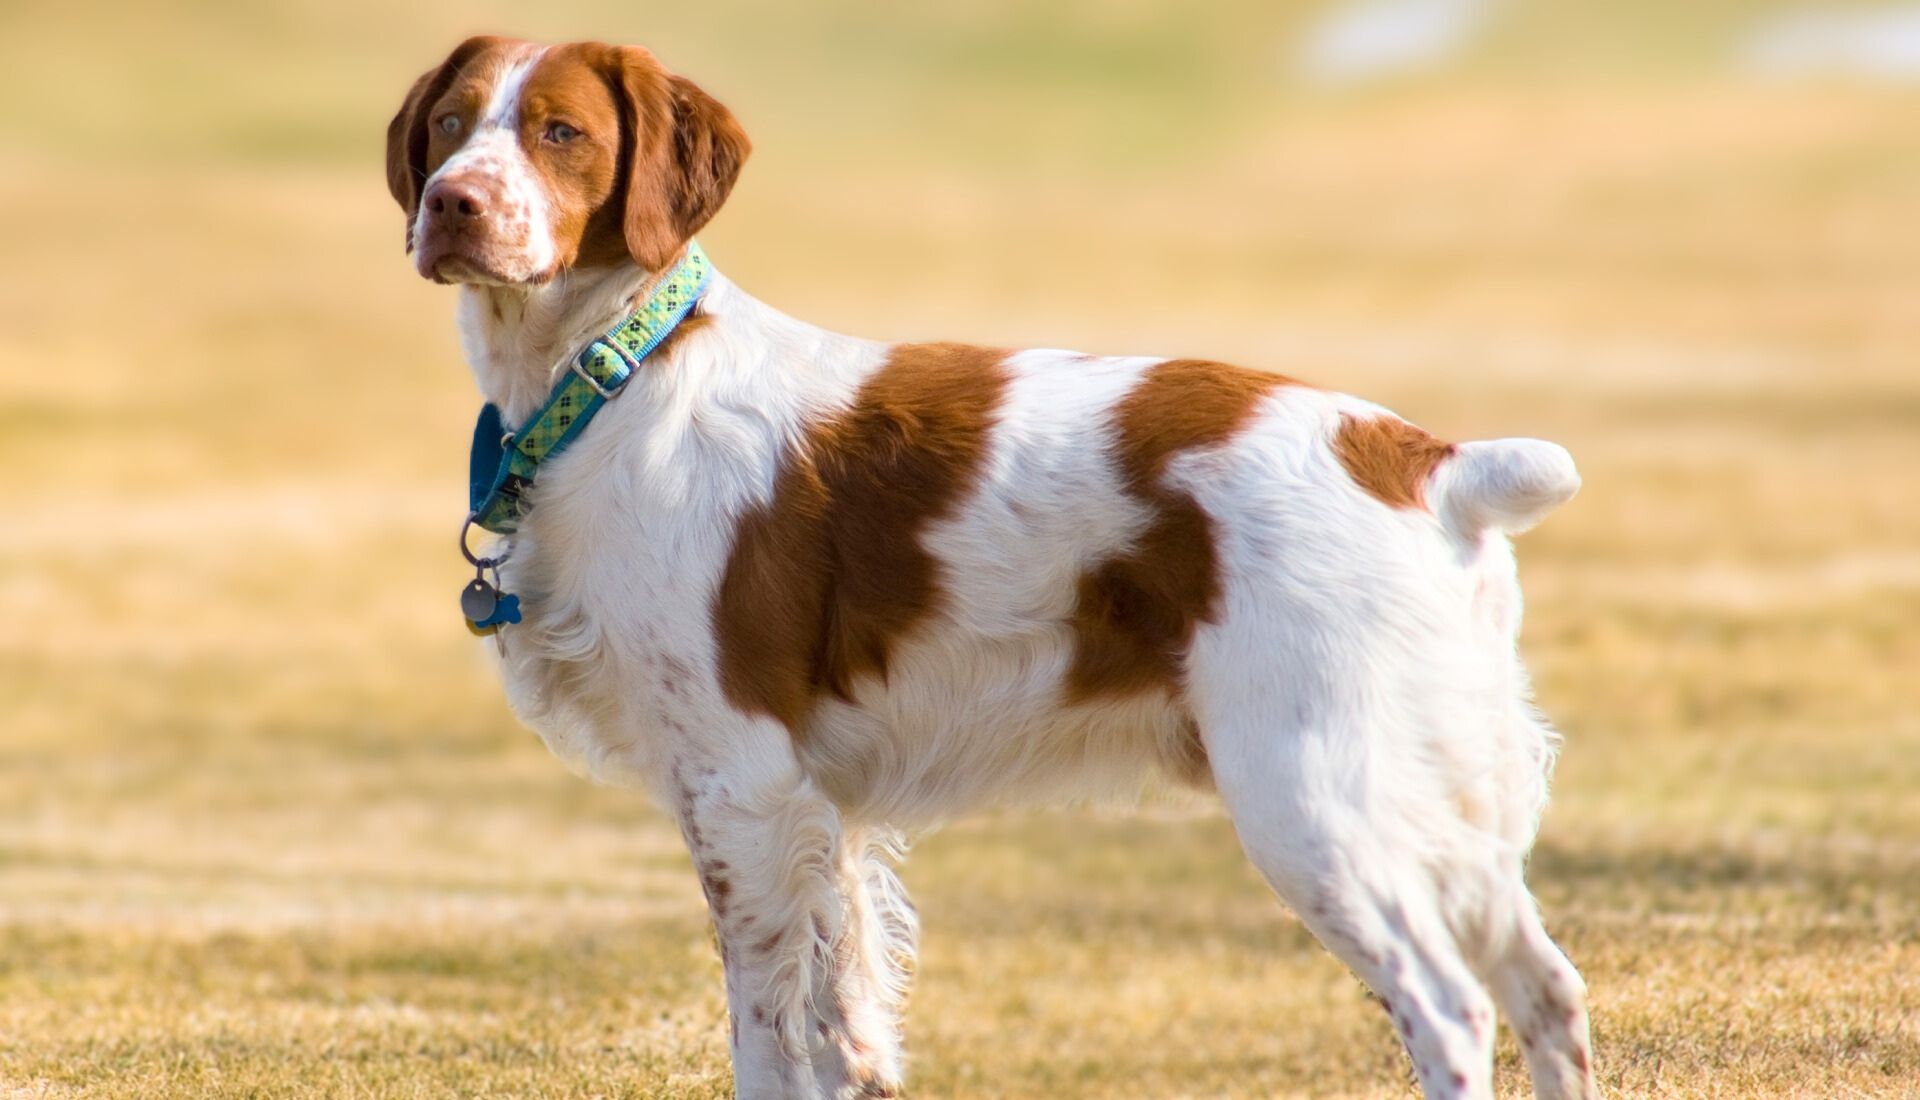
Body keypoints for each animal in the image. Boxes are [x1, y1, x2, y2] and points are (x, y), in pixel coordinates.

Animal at [382, 36, 1597, 1098]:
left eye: (560, 132)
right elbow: (843, 1026)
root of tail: (1425, 459)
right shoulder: (823, 813)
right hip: (1443, 799)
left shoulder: (740, 783)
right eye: (450, 124)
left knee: (1454, 1007)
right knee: (1549, 990)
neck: (614, 378)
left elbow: (767, 1037)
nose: (452, 203)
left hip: (1314, 792)